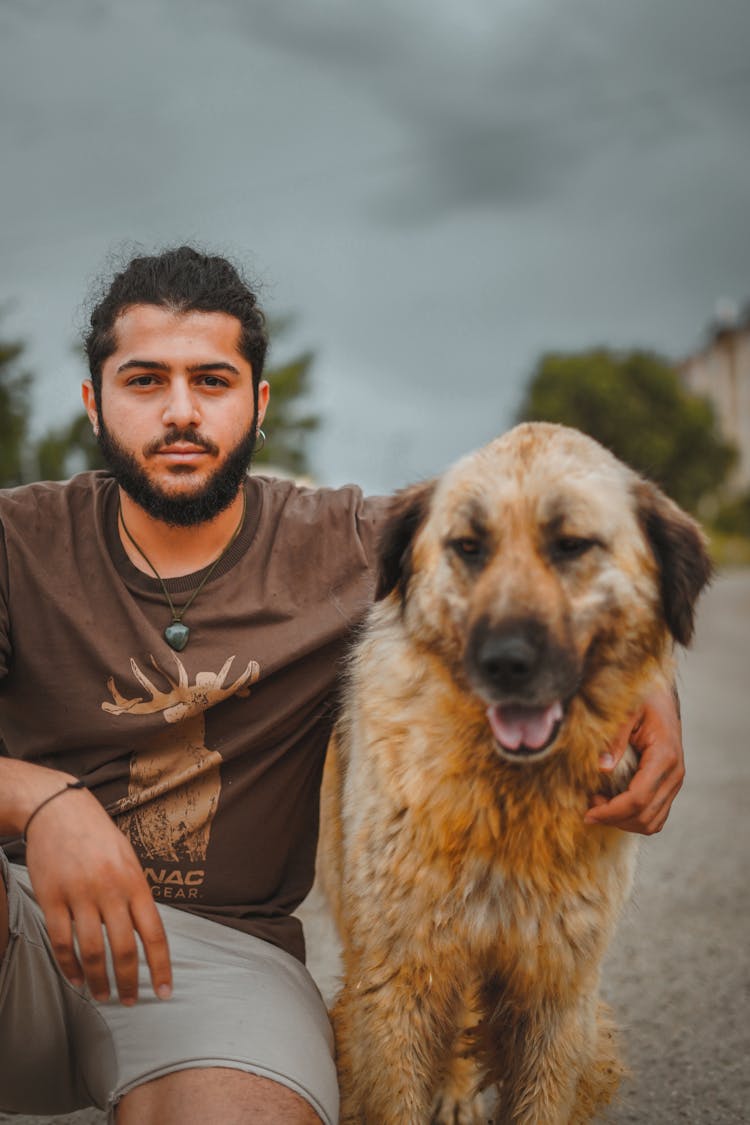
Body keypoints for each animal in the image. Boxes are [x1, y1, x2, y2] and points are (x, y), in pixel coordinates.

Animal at [319, 423, 715, 1125]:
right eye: (469, 547)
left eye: (571, 545)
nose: (505, 663)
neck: (506, 800)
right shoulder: (397, 975)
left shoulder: (557, 991)